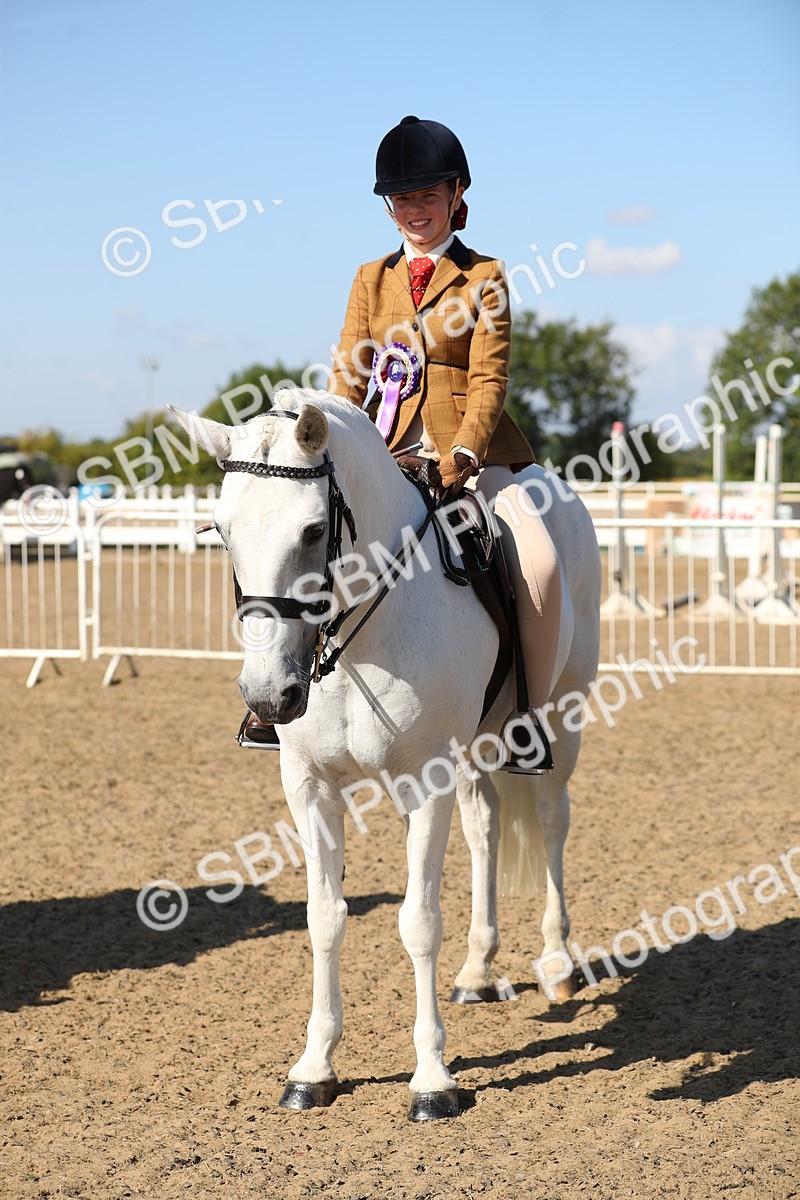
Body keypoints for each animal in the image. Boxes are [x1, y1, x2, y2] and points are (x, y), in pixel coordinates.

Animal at [170, 388, 600, 1122]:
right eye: (222, 532)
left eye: (314, 531)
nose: (268, 695)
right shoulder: (310, 786)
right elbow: (324, 919)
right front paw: (314, 1068)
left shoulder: (424, 782)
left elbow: (418, 922)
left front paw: (432, 1080)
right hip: (476, 747)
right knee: (485, 827)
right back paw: (478, 970)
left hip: (561, 721)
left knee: (551, 821)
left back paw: (556, 964)